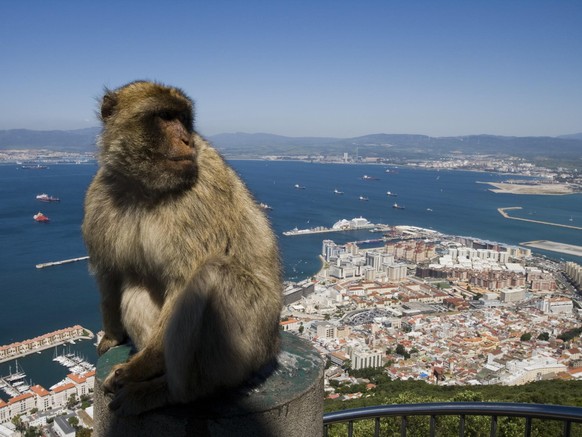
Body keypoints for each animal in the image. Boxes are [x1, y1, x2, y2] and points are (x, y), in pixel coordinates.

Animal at [81, 81, 282, 416]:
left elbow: (184, 282)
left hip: (253, 343)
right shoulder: (98, 197)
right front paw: (112, 336)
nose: (187, 139)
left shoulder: (201, 194)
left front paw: (137, 370)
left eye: (184, 120)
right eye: (165, 116)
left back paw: (166, 391)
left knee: (213, 275)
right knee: (136, 286)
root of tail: (274, 344)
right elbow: (110, 274)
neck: (145, 186)